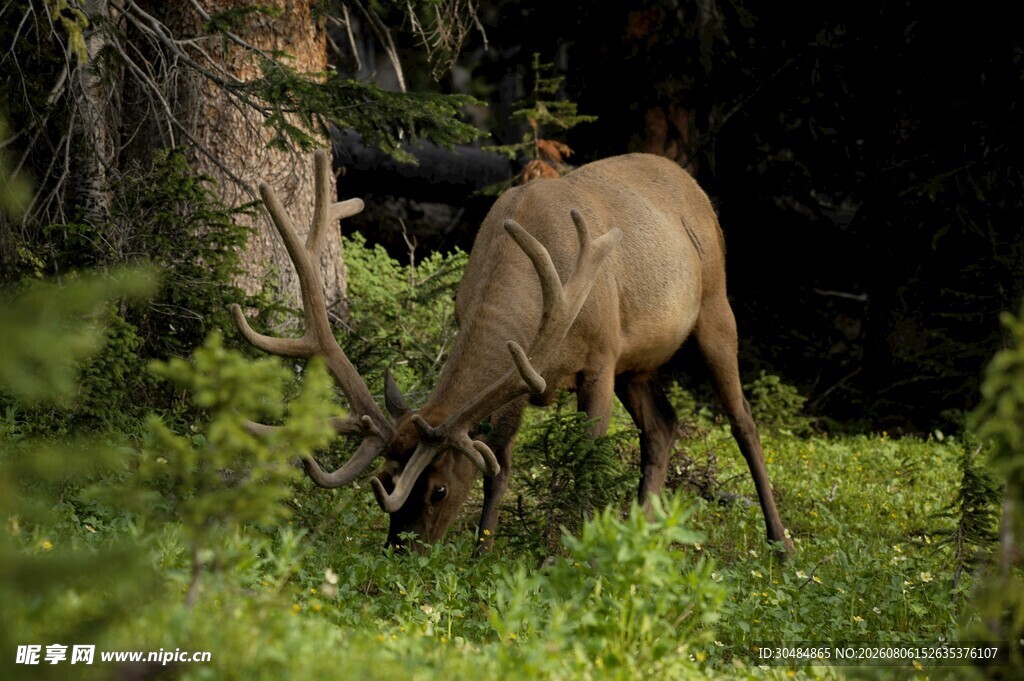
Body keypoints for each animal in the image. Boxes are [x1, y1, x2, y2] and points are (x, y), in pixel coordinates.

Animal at [232, 149, 793, 556]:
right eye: (387, 481)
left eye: (437, 490)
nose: (400, 551)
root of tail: (690, 181)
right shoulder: (525, 376)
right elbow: (498, 465)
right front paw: (482, 554)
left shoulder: (601, 358)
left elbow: (583, 460)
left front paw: (562, 553)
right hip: (639, 364)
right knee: (663, 427)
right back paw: (644, 536)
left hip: (714, 308)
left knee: (743, 422)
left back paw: (781, 543)